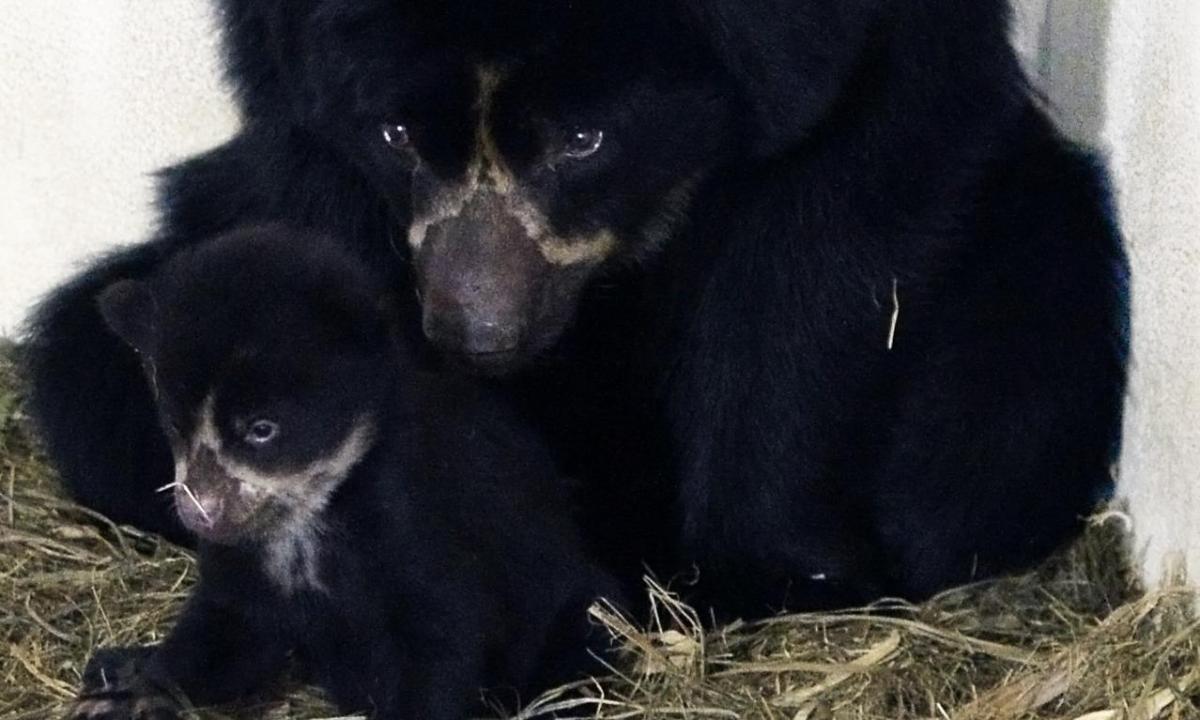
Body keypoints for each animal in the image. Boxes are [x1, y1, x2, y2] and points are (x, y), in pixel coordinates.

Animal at [21, 1, 1123, 619]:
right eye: (396, 136)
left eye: (586, 141)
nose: (478, 333)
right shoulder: (287, 68)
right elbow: (310, 205)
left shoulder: (881, 55)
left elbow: (833, 238)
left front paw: (763, 572)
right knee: (83, 369)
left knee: (989, 436)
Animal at [65, 229, 619, 720]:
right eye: (174, 423)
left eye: (262, 429)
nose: (200, 515)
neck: (312, 516)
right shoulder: (245, 567)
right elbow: (226, 635)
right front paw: (131, 690)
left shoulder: (421, 532)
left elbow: (438, 648)